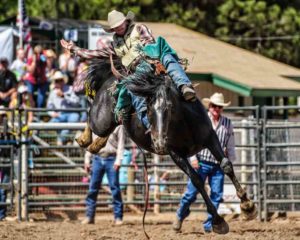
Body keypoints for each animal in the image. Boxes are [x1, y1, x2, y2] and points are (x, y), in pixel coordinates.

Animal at [78, 58, 256, 234]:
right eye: (148, 108)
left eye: (169, 107)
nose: (158, 143)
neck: (185, 123)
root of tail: (112, 77)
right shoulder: (175, 153)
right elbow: (197, 180)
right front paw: (219, 222)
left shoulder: (211, 138)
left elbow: (226, 165)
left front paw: (248, 206)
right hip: (101, 120)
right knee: (90, 116)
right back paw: (84, 139)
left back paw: (95, 145)